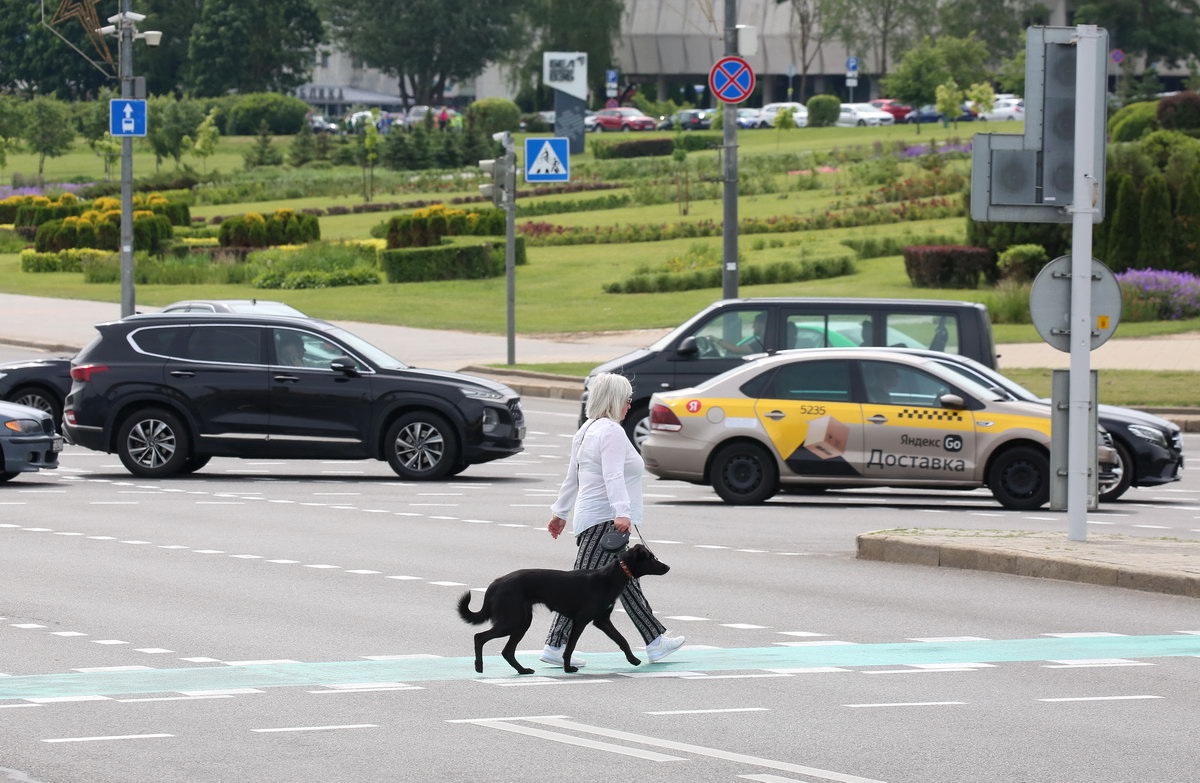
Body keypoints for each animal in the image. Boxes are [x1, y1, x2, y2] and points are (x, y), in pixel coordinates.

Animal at [456, 545, 672, 672]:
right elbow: (570, 647)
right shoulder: (582, 620)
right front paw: (568, 668)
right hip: (512, 621)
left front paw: (633, 660)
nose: (668, 567)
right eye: (652, 558)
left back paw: (522, 670)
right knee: (479, 637)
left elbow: (622, 640)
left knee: (507, 651)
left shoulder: (602, 620)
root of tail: (496, 582)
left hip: (522, 623)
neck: (613, 575)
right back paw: (479, 666)